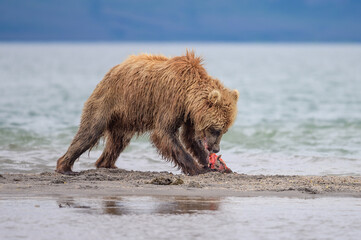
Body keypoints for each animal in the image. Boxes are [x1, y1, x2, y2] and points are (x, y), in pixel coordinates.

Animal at [56, 50, 238, 174]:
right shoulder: (170, 101)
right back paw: (64, 166)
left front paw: (212, 163)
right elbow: (164, 133)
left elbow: (190, 138)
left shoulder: (189, 114)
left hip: (124, 117)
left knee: (117, 142)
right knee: (89, 132)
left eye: (224, 130)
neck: (187, 93)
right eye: (216, 129)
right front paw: (197, 168)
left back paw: (107, 164)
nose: (216, 149)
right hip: (108, 100)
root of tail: (112, 70)